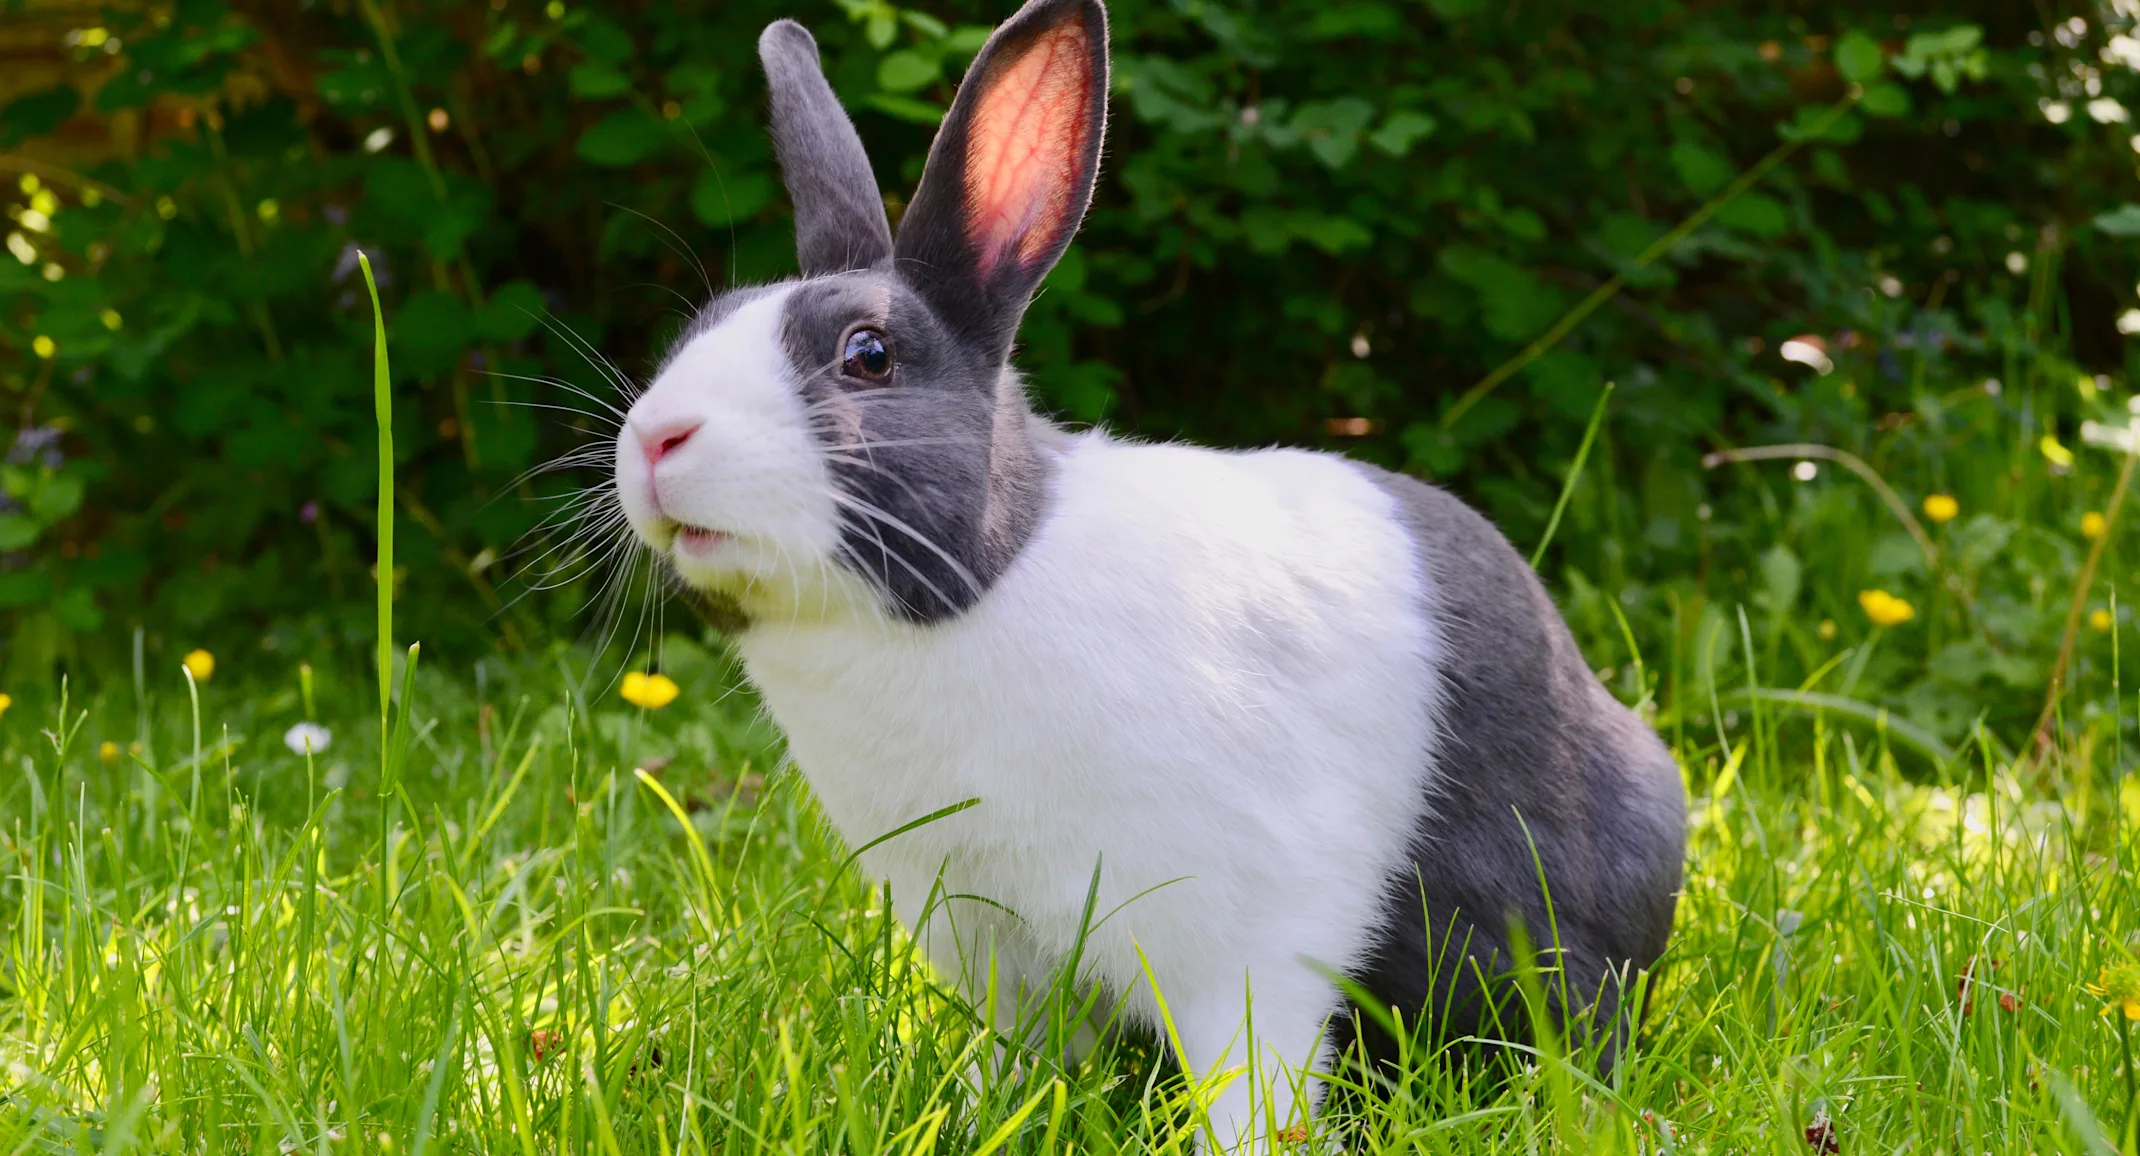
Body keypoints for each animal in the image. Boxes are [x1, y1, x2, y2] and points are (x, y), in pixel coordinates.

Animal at [612, 0, 1687, 1145]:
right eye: (695, 330)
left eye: (868, 355)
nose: (656, 440)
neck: (977, 588)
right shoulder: (995, 942)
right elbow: (1020, 1052)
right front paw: (982, 1116)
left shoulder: (1241, 937)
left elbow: (1254, 1071)